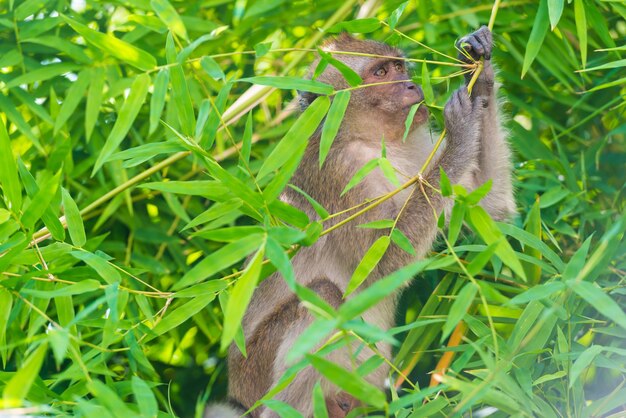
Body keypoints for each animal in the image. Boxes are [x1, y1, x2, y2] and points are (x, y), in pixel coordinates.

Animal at [205, 26, 512, 418]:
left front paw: (480, 78)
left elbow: (492, 209)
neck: (370, 140)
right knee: (321, 300)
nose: (411, 85)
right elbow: (382, 261)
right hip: (258, 378)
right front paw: (461, 128)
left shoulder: (417, 142)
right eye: (380, 73)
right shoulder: (341, 172)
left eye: (399, 67)